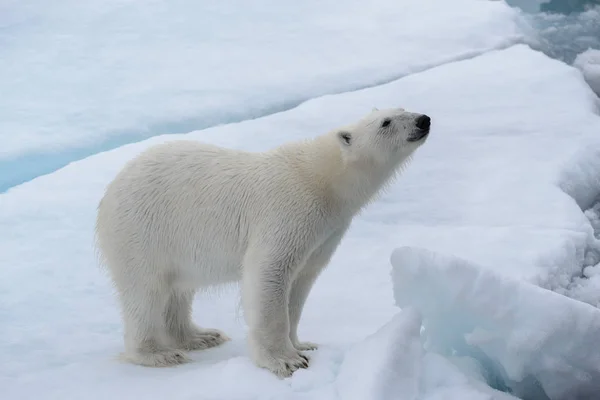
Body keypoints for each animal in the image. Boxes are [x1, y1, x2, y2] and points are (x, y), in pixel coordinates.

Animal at [94, 106, 432, 376]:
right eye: (386, 122)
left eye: (402, 107)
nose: (423, 119)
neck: (323, 179)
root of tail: (108, 195)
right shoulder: (287, 212)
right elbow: (269, 275)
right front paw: (285, 361)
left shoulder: (325, 233)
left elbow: (301, 283)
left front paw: (303, 345)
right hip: (144, 233)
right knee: (146, 292)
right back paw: (158, 353)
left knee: (179, 290)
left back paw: (200, 336)